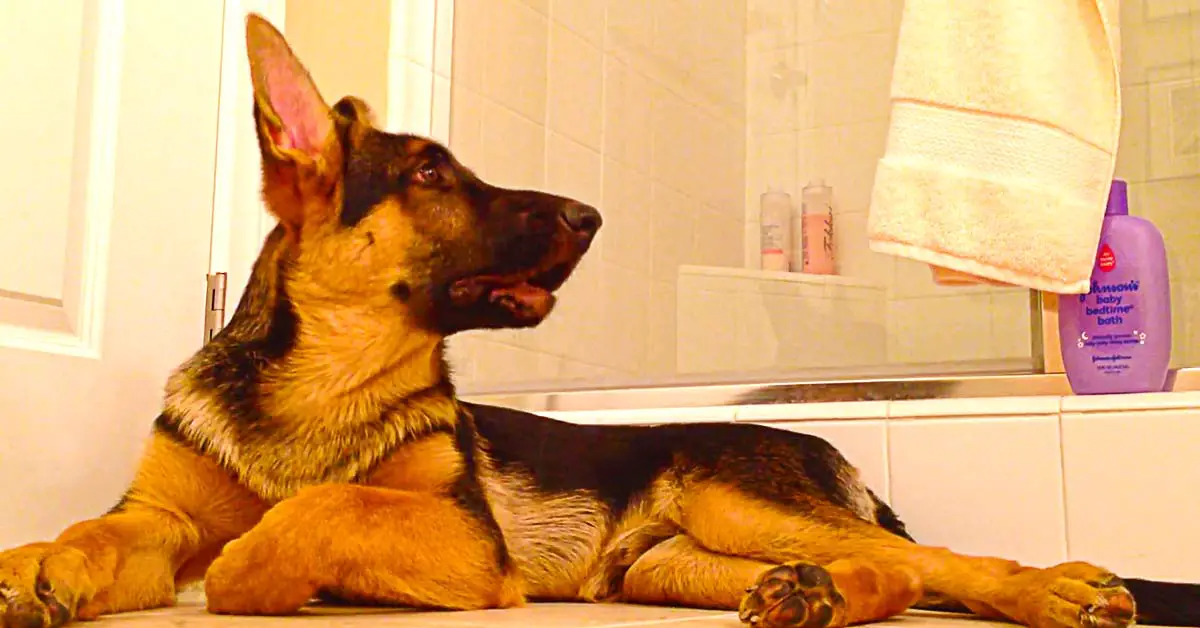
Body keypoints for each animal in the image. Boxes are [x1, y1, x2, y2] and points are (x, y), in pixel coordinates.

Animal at [2, 12, 1200, 628]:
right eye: (429, 172)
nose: (592, 216)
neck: (318, 382)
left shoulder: (460, 539)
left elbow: (305, 517)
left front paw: (268, 567)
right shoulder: (158, 516)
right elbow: (100, 531)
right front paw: (37, 562)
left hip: (733, 495)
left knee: (941, 559)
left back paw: (1052, 588)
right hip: (669, 563)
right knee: (899, 577)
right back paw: (811, 597)